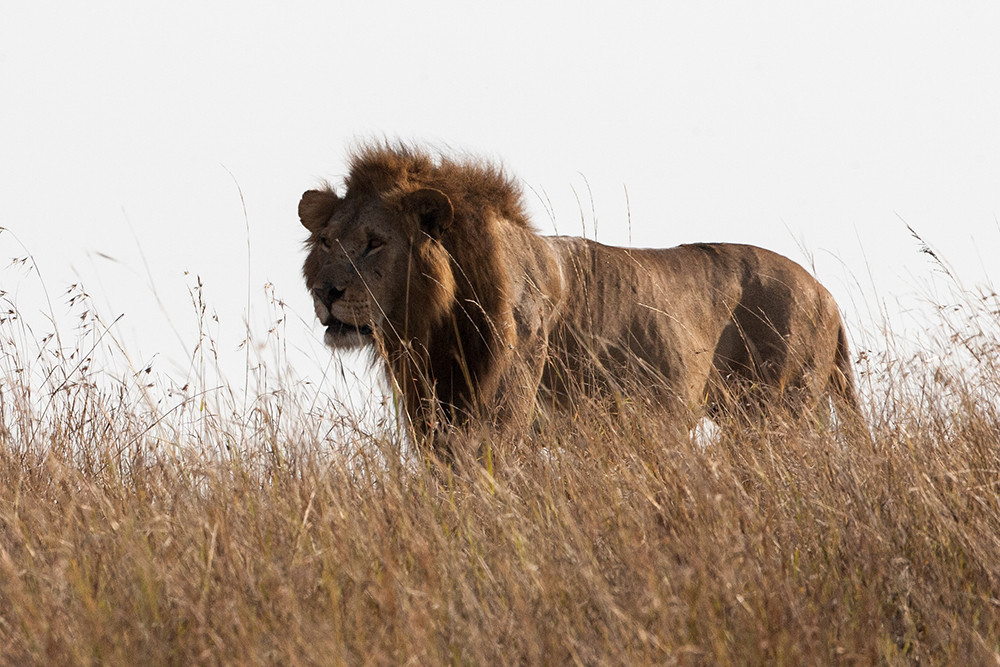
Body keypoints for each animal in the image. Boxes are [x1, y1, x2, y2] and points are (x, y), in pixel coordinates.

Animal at [299, 143, 858, 450]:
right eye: (326, 242)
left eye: (374, 242)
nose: (327, 293)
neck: (432, 326)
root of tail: (828, 294)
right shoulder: (432, 413)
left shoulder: (500, 419)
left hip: (774, 413)